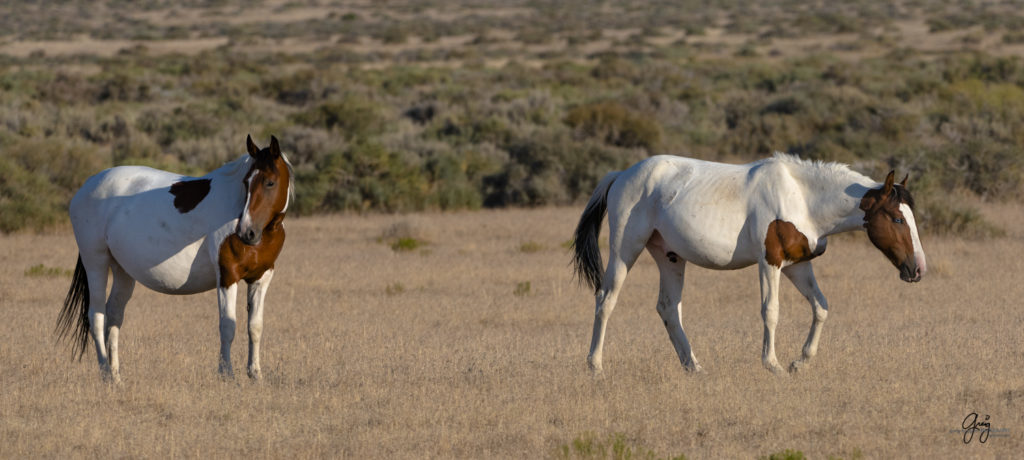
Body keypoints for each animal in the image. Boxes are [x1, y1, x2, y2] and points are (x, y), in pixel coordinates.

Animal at [57, 133, 292, 381]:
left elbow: (255, 326)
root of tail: (86, 186)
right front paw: (227, 374)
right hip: (96, 262)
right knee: (96, 317)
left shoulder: (262, 277)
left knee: (113, 316)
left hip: (122, 270)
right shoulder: (228, 275)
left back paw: (116, 377)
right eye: (246, 182)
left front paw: (255, 374)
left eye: (269, 182)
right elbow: (228, 326)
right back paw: (105, 374)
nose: (246, 232)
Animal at [573, 152, 925, 374]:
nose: (918, 269)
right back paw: (595, 366)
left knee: (668, 308)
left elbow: (821, 307)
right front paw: (773, 365)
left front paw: (800, 362)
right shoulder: (770, 263)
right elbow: (771, 311)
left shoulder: (798, 265)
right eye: (897, 218)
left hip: (670, 257)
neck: (802, 197)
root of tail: (621, 175)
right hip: (625, 249)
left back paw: (693, 367)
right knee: (606, 300)